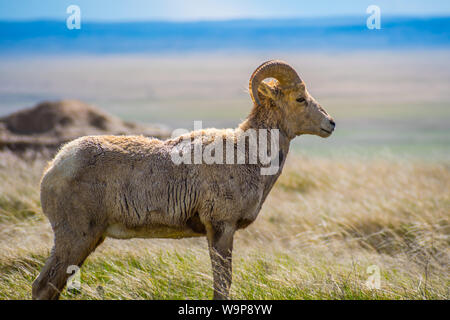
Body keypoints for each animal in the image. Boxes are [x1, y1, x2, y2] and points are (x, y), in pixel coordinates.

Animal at [32, 60, 334, 300]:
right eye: (300, 99)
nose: (330, 124)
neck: (247, 155)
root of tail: (54, 167)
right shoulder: (221, 227)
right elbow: (222, 284)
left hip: (89, 240)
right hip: (75, 237)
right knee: (43, 286)